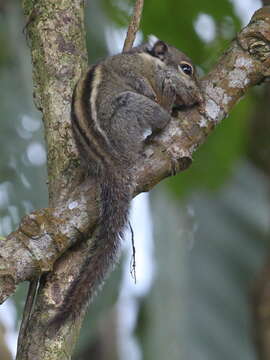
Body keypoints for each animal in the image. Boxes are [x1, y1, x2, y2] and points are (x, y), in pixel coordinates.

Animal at [50, 39, 204, 330]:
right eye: (187, 69)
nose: (199, 98)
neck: (152, 63)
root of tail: (109, 158)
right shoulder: (129, 68)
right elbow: (136, 80)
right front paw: (160, 92)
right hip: (129, 108)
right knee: (156, 117)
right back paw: (165, 110)